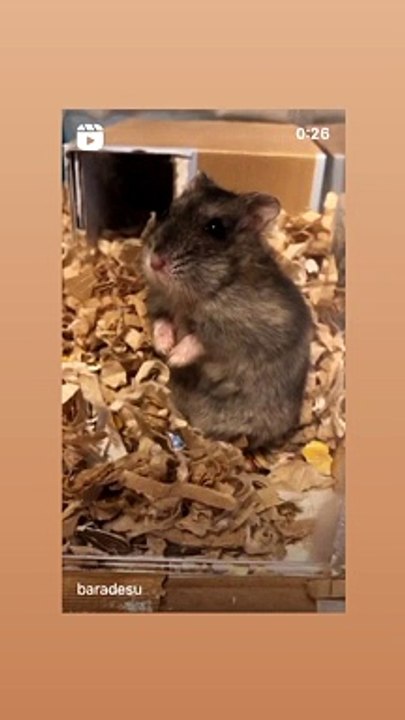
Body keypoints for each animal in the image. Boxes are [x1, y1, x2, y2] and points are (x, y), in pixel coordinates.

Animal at [142, 173, 313, 450]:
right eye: (168, 211)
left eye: (216, 228)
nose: (155, 262)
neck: (193, 297)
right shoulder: (160, 303)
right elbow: (161, 322)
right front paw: (164, 349)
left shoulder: (242, 333)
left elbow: (202, 340)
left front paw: (175, 357)